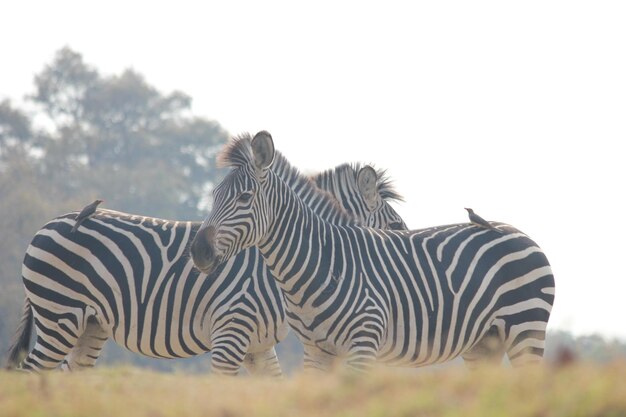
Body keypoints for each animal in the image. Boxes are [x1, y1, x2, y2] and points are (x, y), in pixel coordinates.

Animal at [4, 147, 404, 374]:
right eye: (398, 227)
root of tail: (49, 223)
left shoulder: (259, 345)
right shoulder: (231, 332)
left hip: (90, 325)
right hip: (59, 315)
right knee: (31, 373)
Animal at [191, 130, 556, 370]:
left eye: (244, 198)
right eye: (214, 196)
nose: (198, 252)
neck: (322, 263)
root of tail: (517, 232)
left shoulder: (362, 343)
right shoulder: (318, 350)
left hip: (526, 328)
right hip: (484, 342)